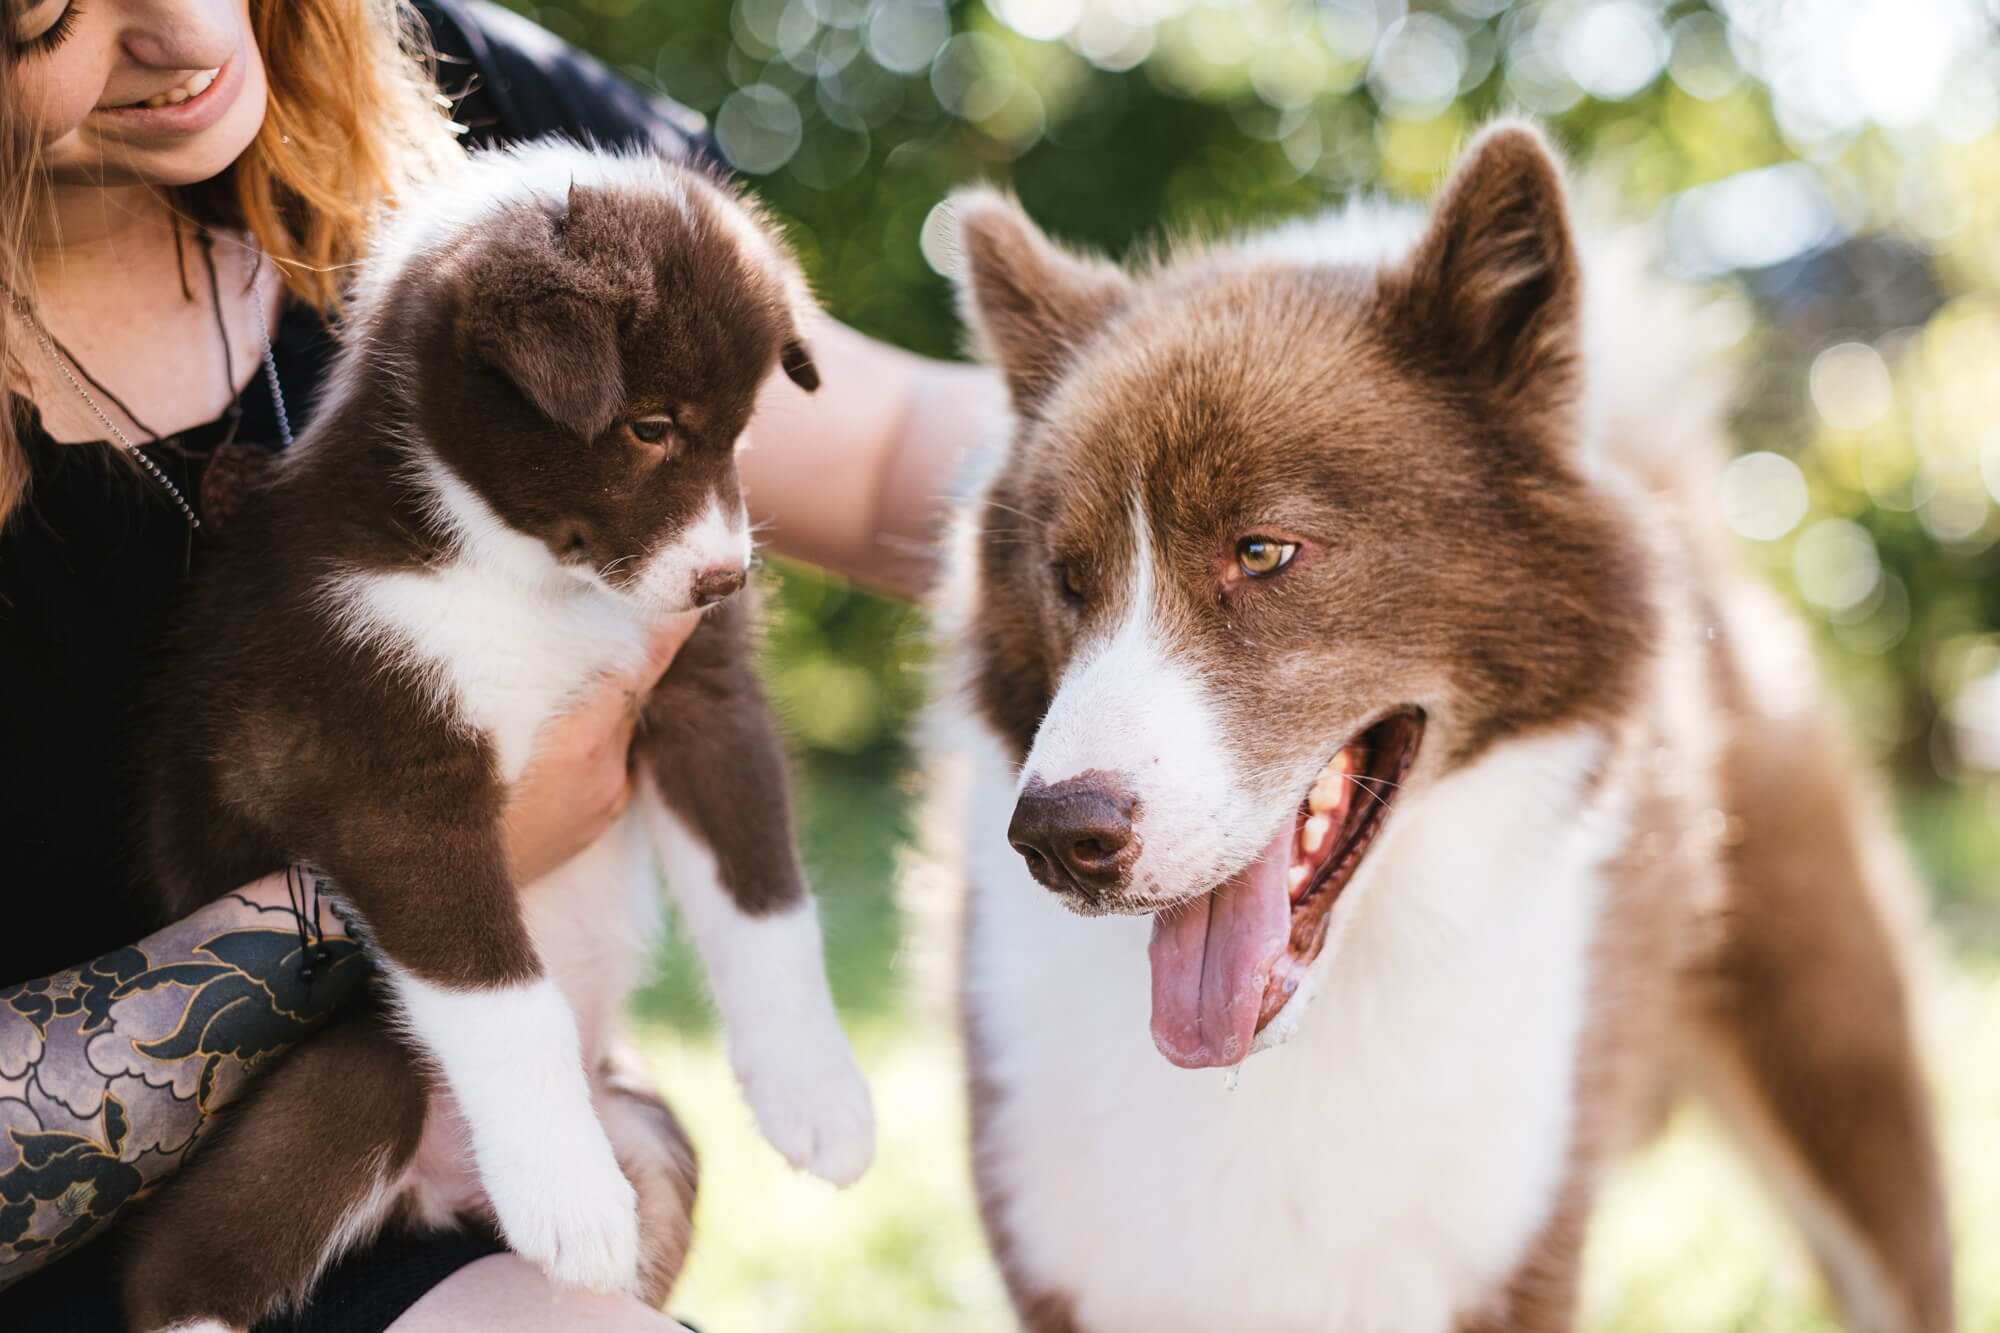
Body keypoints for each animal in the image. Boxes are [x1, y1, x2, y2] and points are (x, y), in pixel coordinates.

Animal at [127, 140, 876, 1320]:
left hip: (656, 1136)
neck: (521, 572)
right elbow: (500, 994)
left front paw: (819, 1094)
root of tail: (432, 1197)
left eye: (743, 431)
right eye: (649, 425)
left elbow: (765, 898)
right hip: (361, 1073)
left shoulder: (702, 697)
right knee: (173, 1270)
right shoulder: (383, 767)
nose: (724, 580)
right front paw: (568, 1195)